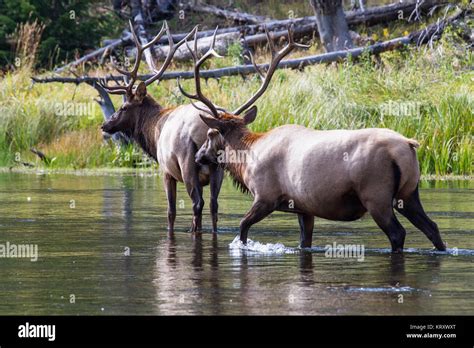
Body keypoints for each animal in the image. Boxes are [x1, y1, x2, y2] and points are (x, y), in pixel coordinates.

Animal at [99, 21, 224, 234]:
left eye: (124, 107)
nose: (104, 125)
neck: (153, 133)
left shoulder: (166, 171)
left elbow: (170, 212)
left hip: (186, 162)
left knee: (197, 203)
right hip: (220, 167)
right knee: (213, 205)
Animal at [180, 25, 446, 253]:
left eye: (211, 134)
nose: (198, 156)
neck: (246, 159)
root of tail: (409, 146)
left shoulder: (266, 196)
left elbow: (243, 228)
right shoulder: (303, 207)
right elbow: (304, 241)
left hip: (375, 194)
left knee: (398, 233)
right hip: (409, 193)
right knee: (432, 228)